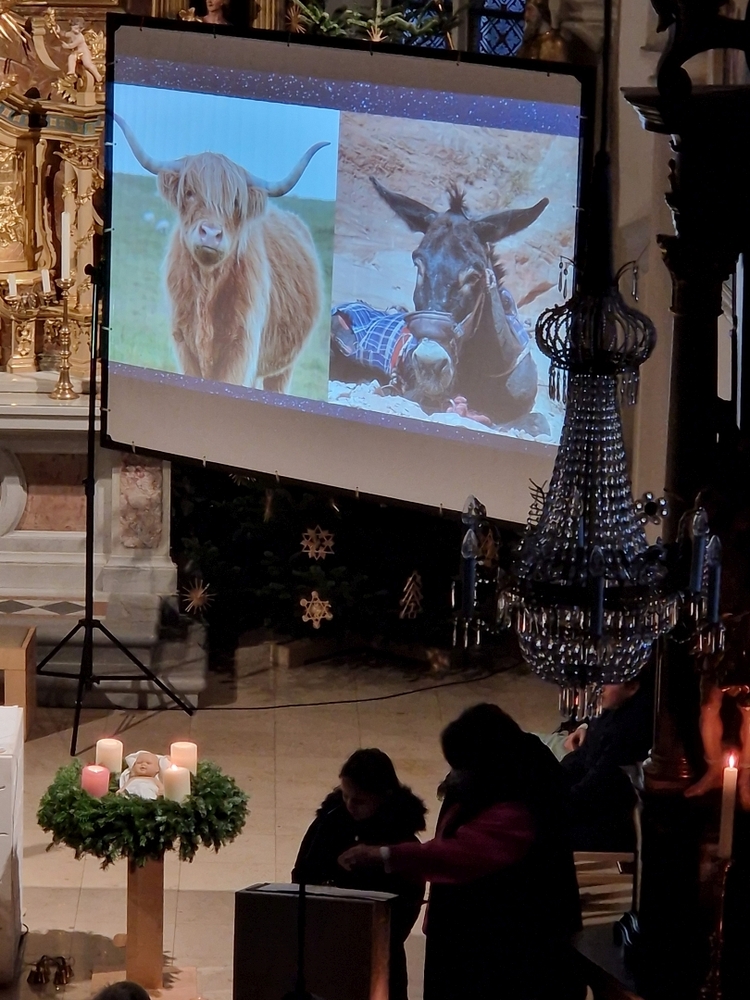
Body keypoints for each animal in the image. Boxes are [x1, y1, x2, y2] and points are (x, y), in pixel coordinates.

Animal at [114, 115, 328, 390]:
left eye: (236, 203)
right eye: (189, 192)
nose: (211, 233)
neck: (206, 287)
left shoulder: (242, 347)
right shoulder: (184, 343)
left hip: (283, 367)